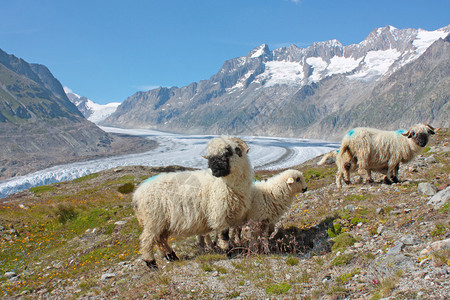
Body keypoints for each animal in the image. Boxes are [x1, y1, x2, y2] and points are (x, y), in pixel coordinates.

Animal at [133, 137, 253, 270]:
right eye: (210, 156)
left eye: (228, 152)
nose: (215, 170)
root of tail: (137, 194)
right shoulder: (219, 214)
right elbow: (224, 235)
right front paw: (228, 252)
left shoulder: (235, 216)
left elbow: (235, 232)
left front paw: (235, 248)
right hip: (153, 220)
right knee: (147, 240)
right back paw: (151, 263)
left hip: (164, 222)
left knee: (161, 239)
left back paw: (171, 256)